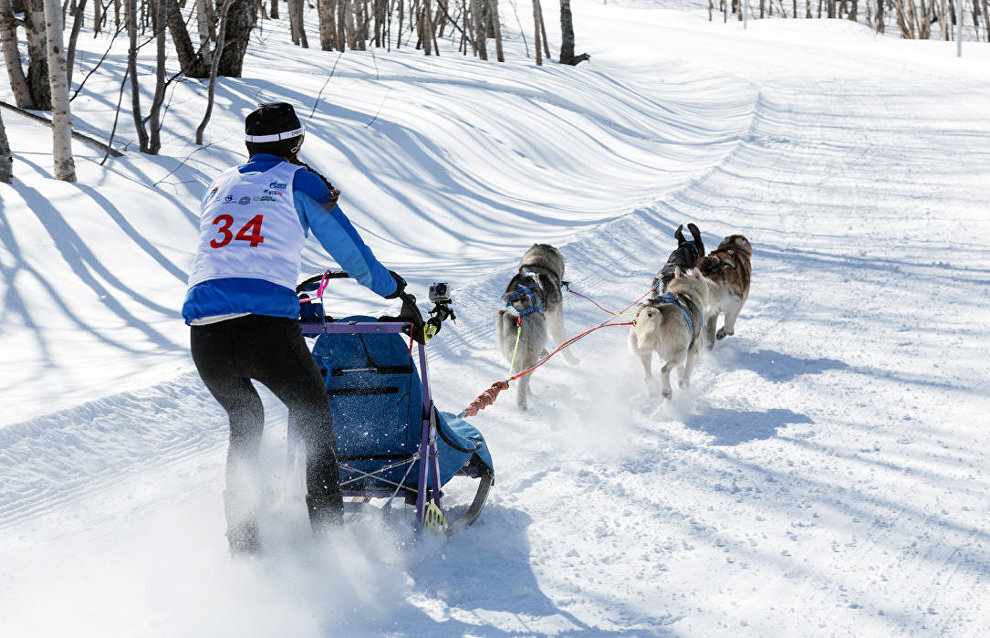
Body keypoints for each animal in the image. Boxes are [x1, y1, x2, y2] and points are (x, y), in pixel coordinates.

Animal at [496, 242, 580, 412]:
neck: (536, 266)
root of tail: (515, 312)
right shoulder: (555, 323)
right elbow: (564, 346)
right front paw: (573, 361)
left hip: (512, 354)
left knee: (518, 377)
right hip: (531, 353)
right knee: (523, 379)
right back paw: (523, 404)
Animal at [628, 268, 712, 398]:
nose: (710, 284)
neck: (683, 292)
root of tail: (654, 311)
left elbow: (680, 369)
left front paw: (680, 380)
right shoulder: (693, 348)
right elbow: (688, 370)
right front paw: (684, 384)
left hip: (645, 353)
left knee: (647, 377)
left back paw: (653, 391)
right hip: (679, 353)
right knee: (664, 370)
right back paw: (666, 391)